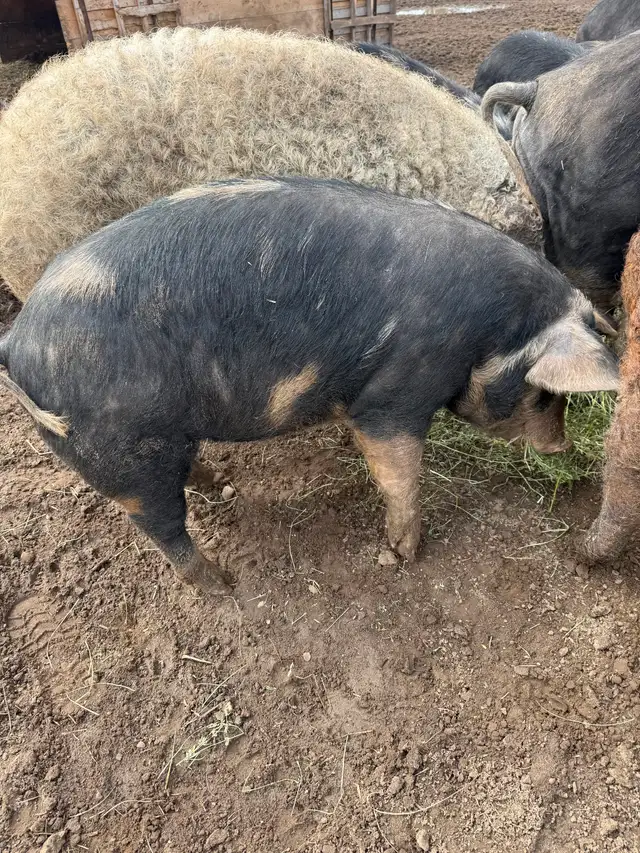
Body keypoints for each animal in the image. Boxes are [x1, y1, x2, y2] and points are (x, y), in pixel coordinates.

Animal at [0, 178, 618, 593]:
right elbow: (399, 472)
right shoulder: (397, 392)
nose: (561, 446)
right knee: (159, 527)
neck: (489, 334)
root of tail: (17, 340)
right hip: (123, 453)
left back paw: (221, 487)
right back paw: (223, 587)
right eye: (543, 392)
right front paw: (404, 555)